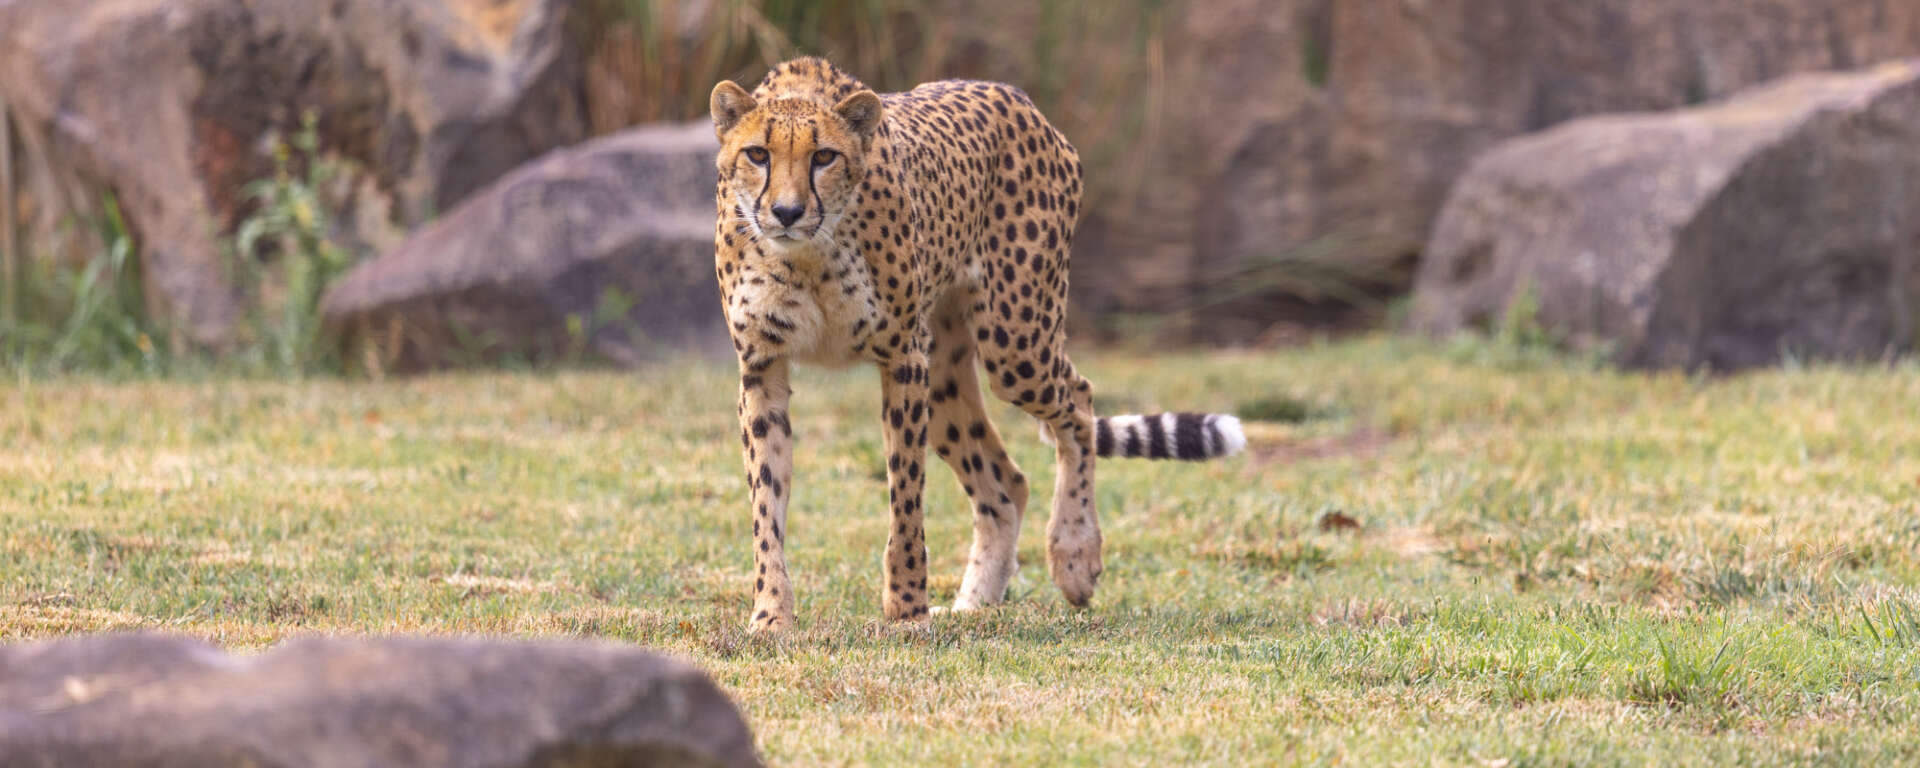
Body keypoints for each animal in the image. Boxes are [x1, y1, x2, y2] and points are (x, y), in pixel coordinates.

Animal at [708, 57, 1245, 632]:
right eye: (757, 154)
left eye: (824, 156)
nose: (786, 212)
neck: (807, 254)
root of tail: (1013, 94)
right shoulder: (762, 366)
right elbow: (767, 504)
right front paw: (771, 616)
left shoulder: (903, 359)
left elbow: (906, 499)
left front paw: (907, 611)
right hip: (945, 375)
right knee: (1006, 484)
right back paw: (976, 602)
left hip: (1015, 343)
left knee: (1077, 401)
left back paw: (1074, 555)